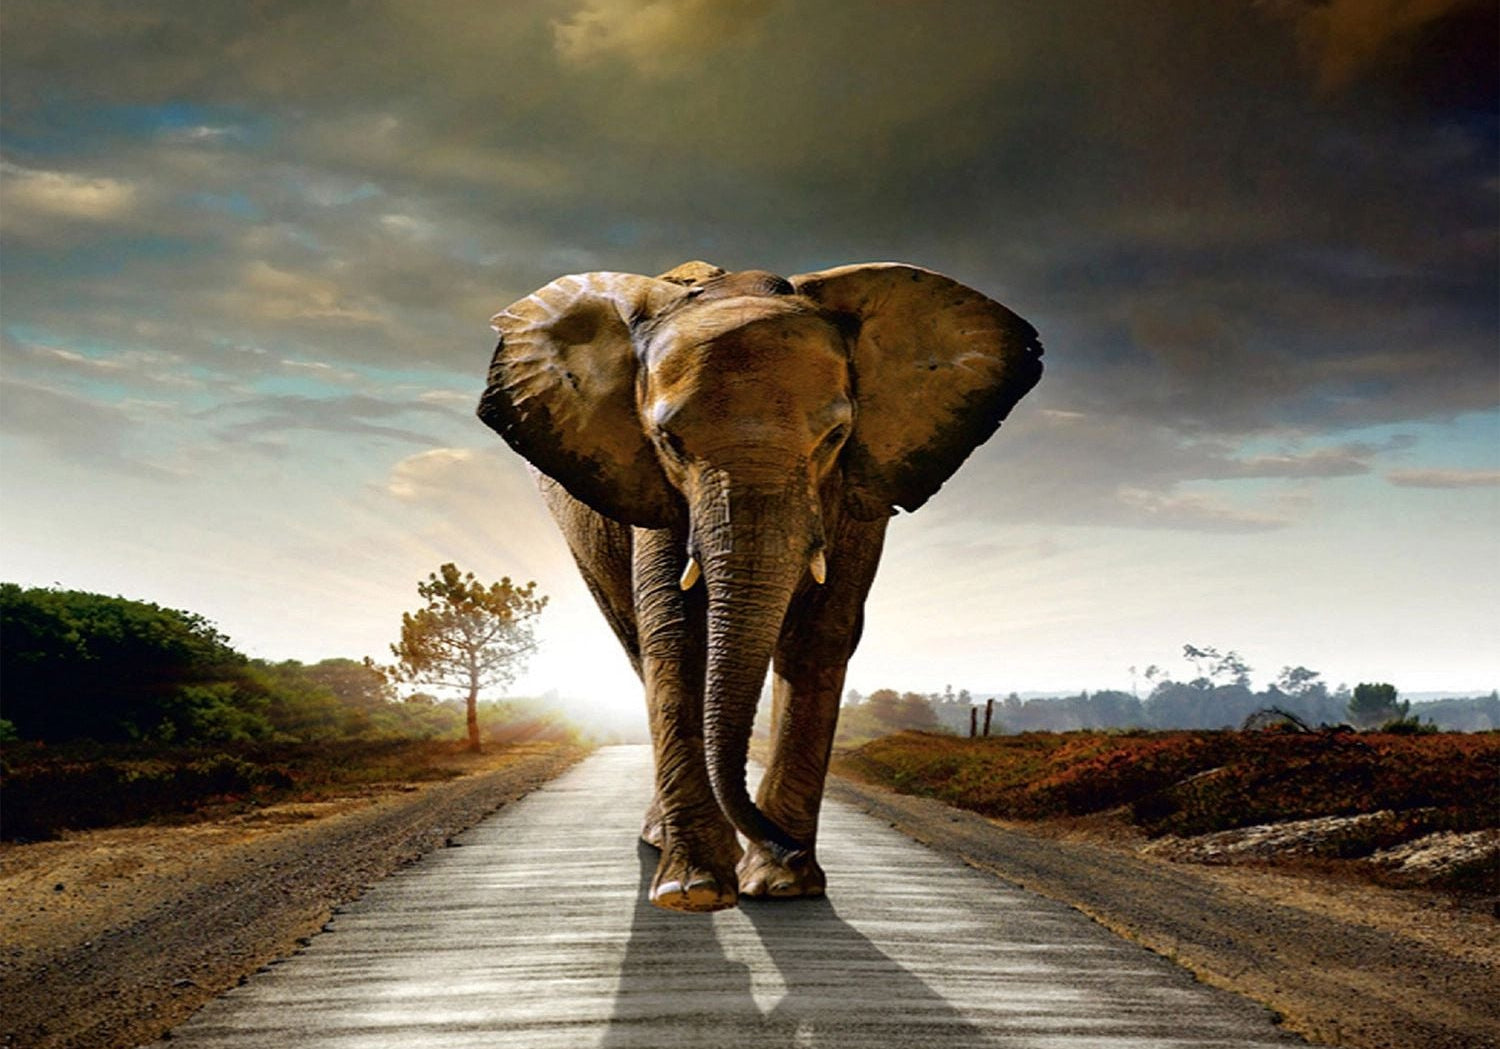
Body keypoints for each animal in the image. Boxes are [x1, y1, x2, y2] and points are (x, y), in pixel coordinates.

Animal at [478, 260, 1042, 912]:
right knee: (636, 643)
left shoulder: (862, 487)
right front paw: (695, 891)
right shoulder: (653, 487)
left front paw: (782, 885)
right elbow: (676, 633)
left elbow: (821, 634)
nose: (787, 848)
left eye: (835, 437)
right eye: (668, 441)